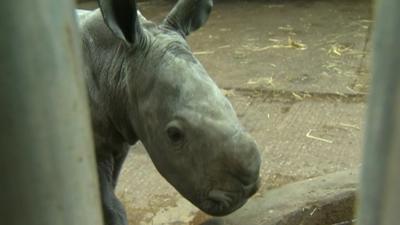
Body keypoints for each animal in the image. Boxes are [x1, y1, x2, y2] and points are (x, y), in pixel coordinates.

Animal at [77, 0, 260, 224]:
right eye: (174, 135)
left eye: (228, 104)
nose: (248, 191)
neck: (116, 62)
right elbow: (110, 204)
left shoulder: (118, 134)